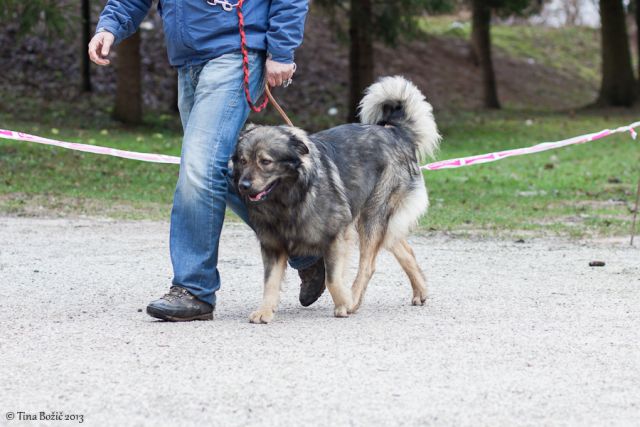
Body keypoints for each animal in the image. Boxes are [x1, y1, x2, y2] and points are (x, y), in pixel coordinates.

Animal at [232, 77, 442, 324]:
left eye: (265, 162)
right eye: (243, 161)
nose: (243, 186)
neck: (290, 198)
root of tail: (395, 132)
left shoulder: (335, 236)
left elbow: (332, 278)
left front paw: (344, 304)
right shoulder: (273, 245)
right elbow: (270, 282)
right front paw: (265, 310)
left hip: (372, 215)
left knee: (368, 265)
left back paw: (354, 298)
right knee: (403, 248)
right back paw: (420, 291)